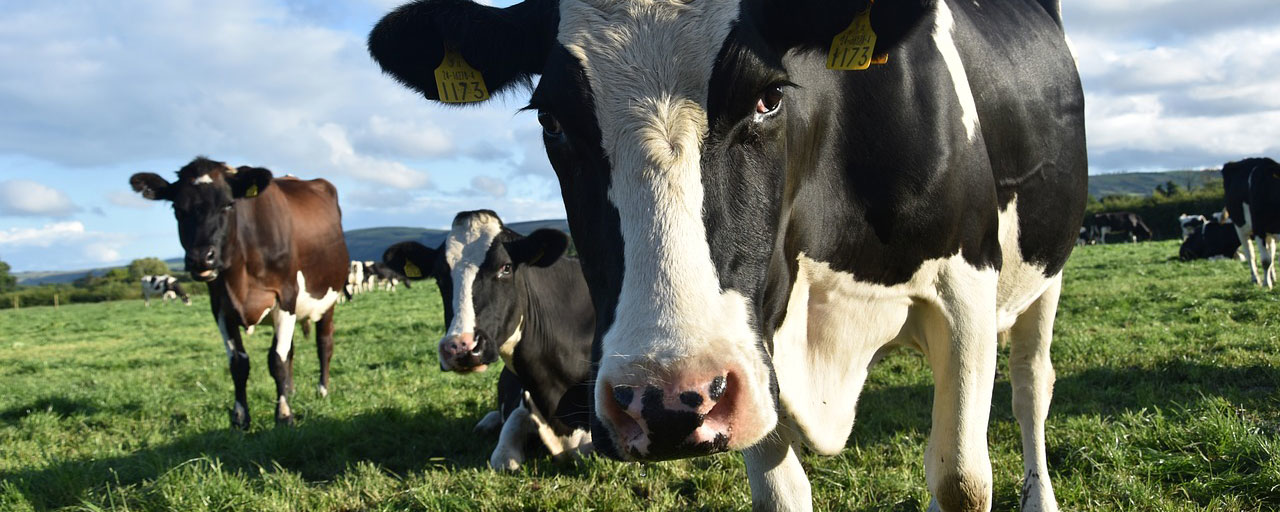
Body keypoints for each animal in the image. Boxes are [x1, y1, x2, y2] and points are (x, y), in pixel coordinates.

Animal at [130, 156, 349, 429]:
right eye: (177, 208)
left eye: (228, 204)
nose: (201, 258)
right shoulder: (221, 307)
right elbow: (239, 363)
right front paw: (240, 417)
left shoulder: (285, 297)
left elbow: (276, 360)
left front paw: (284, 414)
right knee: (291, 350)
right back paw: (291, 390)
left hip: (328, 299)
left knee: (324, 344)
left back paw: (322, 390)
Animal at [1223, 157, 1280, 287]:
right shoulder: (1259, 228)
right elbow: (1265, 261)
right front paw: (1266, 284)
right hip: (1240, 228)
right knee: (1250, 255)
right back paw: (1256, 279)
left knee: (1271, 252)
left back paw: (1272, 277)